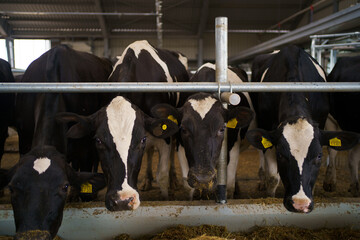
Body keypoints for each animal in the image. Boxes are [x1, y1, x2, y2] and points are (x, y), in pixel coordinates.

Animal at [108, 39, 190, 199]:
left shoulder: (165, 134)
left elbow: (162, 175)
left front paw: (165, 197)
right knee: (150, 151)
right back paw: (147, 180)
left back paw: (174, 181)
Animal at [150, 62, 255, 200]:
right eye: (183, 129)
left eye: (222, 129)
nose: (203, 179)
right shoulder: (181, 147)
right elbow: (188, 187)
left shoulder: (233, 148)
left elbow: (230, 185)